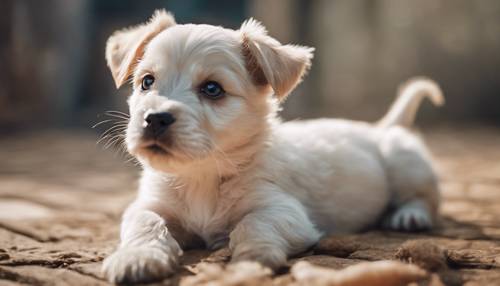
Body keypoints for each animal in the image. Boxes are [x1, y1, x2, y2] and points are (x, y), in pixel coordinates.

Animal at [99, 10, 444, 284]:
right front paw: (137, 258)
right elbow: (145, 223)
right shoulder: (149, 204)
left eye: (212, 89)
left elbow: (253, 223)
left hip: (406, 164)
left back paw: (409, 216)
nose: (155, 119)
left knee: (423, 198)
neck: (202, 176)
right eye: (147, 81)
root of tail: (380, 127)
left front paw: (254, 254)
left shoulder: (285, 211)